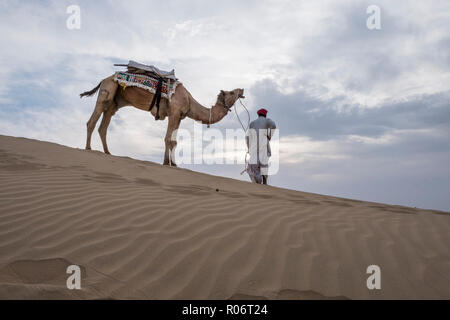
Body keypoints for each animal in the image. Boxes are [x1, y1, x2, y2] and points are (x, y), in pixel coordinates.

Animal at [79, 74, 244, 165]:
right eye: (231, 92)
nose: (242, 89)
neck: (189, 101)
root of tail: (104, 79)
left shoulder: (179, 116)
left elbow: (173, 141)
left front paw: (173, 163)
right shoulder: (174, 113)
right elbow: (168, 139)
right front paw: (167, 163)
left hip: (114, 102)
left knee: (104, 126)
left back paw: (107, 152)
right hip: (107, 90)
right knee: (92, 121)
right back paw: (88, 148)